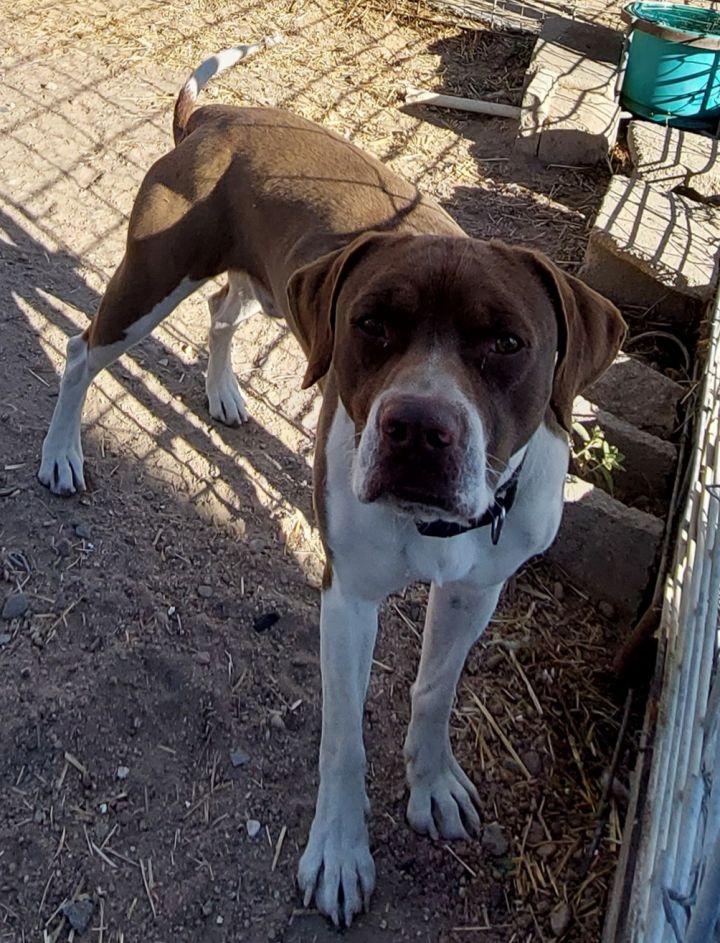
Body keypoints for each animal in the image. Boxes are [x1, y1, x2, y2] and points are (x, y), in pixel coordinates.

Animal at [38, 40, 624, 924]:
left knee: (221, 313)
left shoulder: (477, 589)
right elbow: (343, 738)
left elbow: (434, 689)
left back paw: (223, 391)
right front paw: (342, 853)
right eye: (371, 323)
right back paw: (62, 452)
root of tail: (217, 115)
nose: (418, 427)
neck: (434, 528)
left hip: (263, 283)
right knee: (80, 352)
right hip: (151, 281)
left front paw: (432, 782)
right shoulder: (347, 597)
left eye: (507, 343)